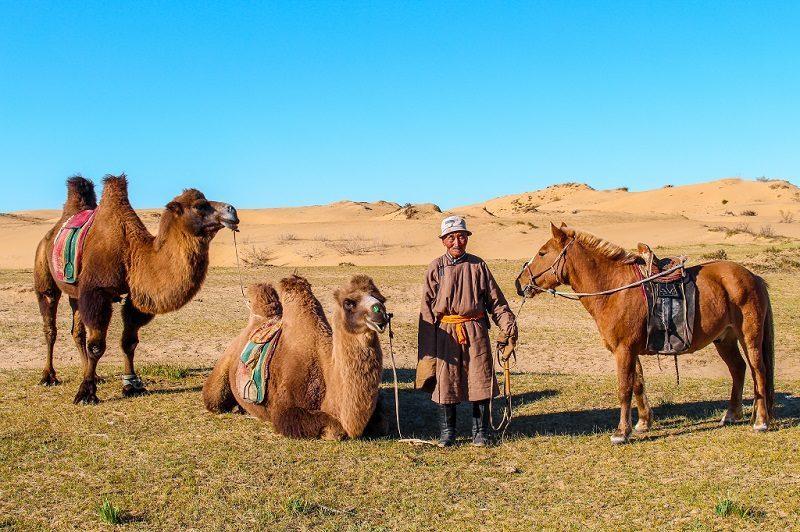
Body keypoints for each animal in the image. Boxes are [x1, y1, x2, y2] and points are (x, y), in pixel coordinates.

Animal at [33, 175, 238, 404]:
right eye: (199, 205)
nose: (232, 210)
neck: (131, 252)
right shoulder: (97, 292)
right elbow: (97, 345)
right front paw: (86, 392)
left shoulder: (136, 297)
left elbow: (129, 342)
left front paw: (131, 384)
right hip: (45, 275)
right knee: (50, 326)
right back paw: (48, 376)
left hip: (76, 293)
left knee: (77, 332)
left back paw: (94, 374)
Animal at [203, 274, 390, 440]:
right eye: (348, 303)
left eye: (381, 299)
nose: (380, 312)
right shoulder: (284, 410)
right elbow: (334, 428)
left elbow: (382, 421)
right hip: (222, 370)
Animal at [516, 222, 772, 442]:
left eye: (542, 253)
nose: (519, 283)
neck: (615, 289)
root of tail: (753, 277)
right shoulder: (630, 350)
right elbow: (638, 383)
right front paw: (643, 423)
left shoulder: (623, 350)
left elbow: (624, 388)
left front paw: (621, 432)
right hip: (725, 339)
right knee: (738, 369)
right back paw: (732, 414)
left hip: (749, 336)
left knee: (758, 371)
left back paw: (761, 421)